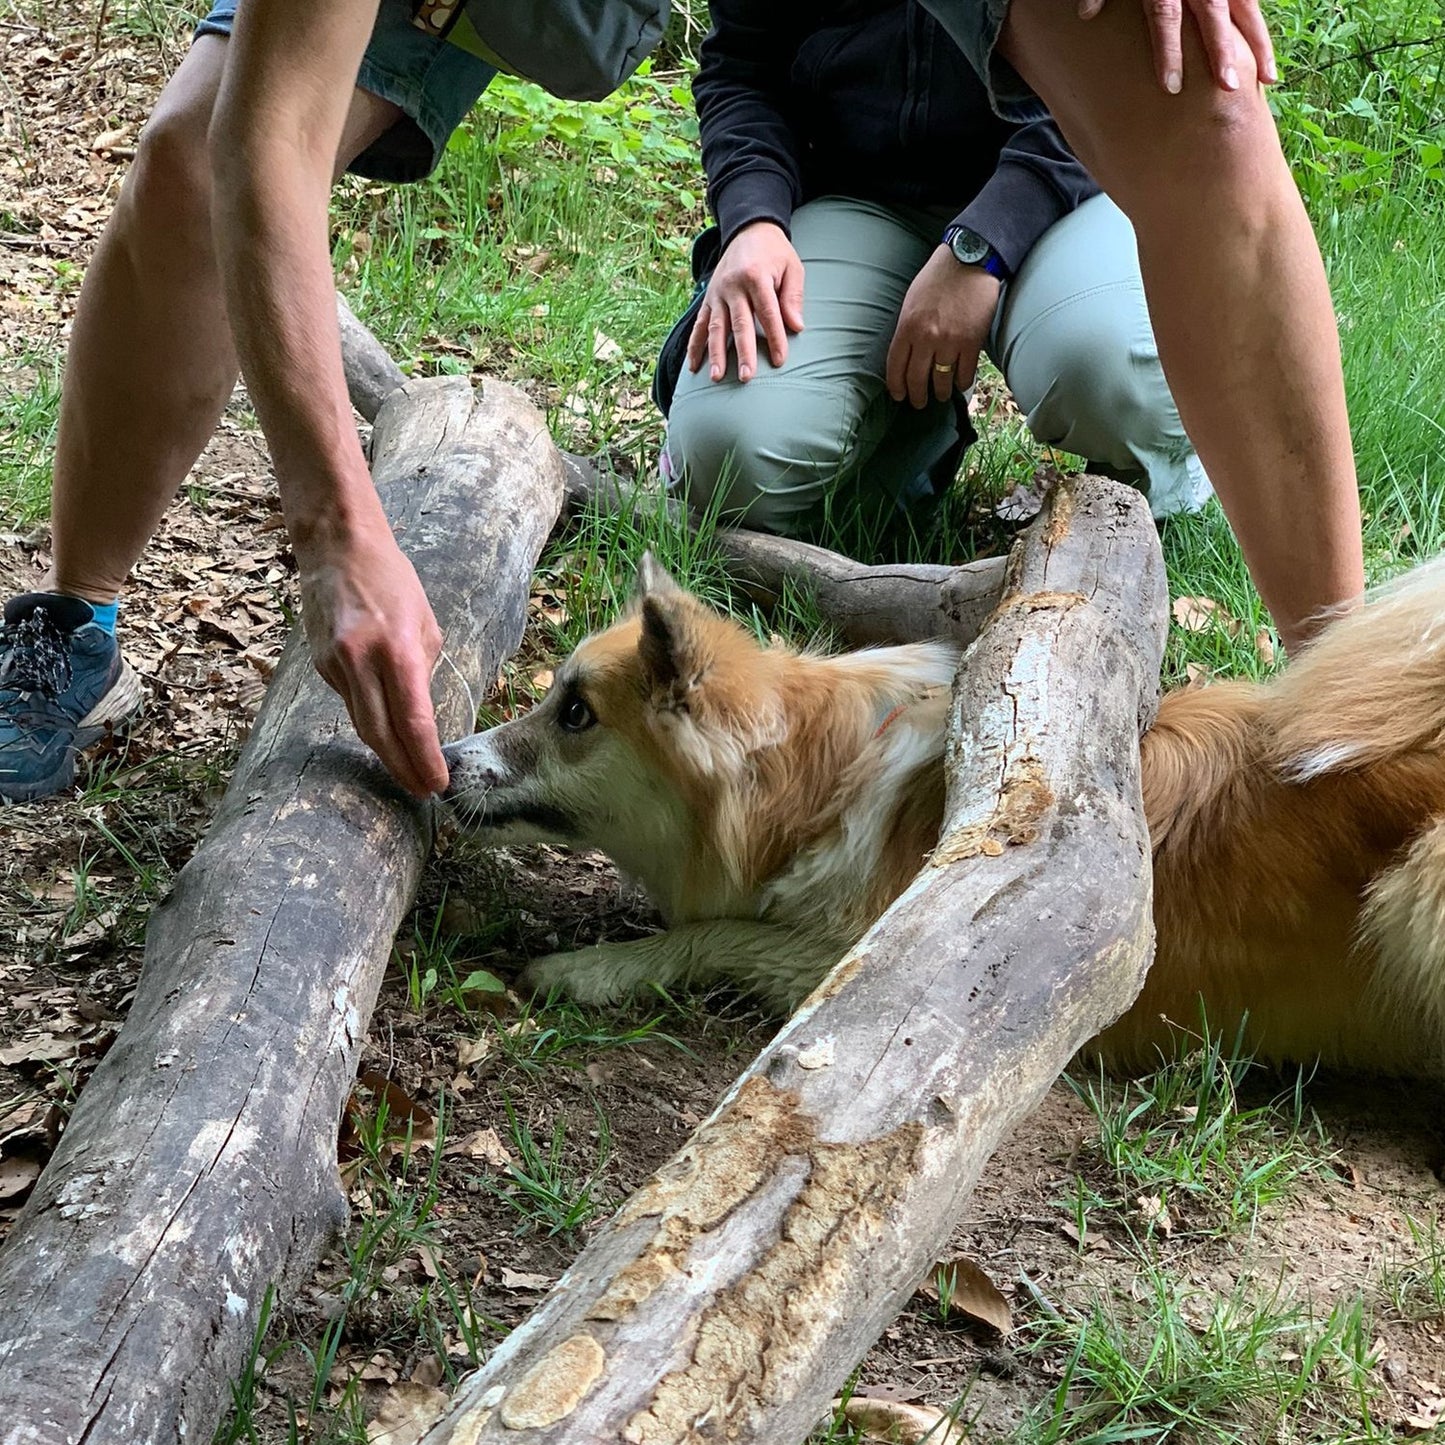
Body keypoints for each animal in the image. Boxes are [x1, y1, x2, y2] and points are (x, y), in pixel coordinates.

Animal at [439, 557, 1445, 1080]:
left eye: (575, 713)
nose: (443, 759)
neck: (820, 781)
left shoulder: (870, 957)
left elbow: (717, 933)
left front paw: (591, 966)